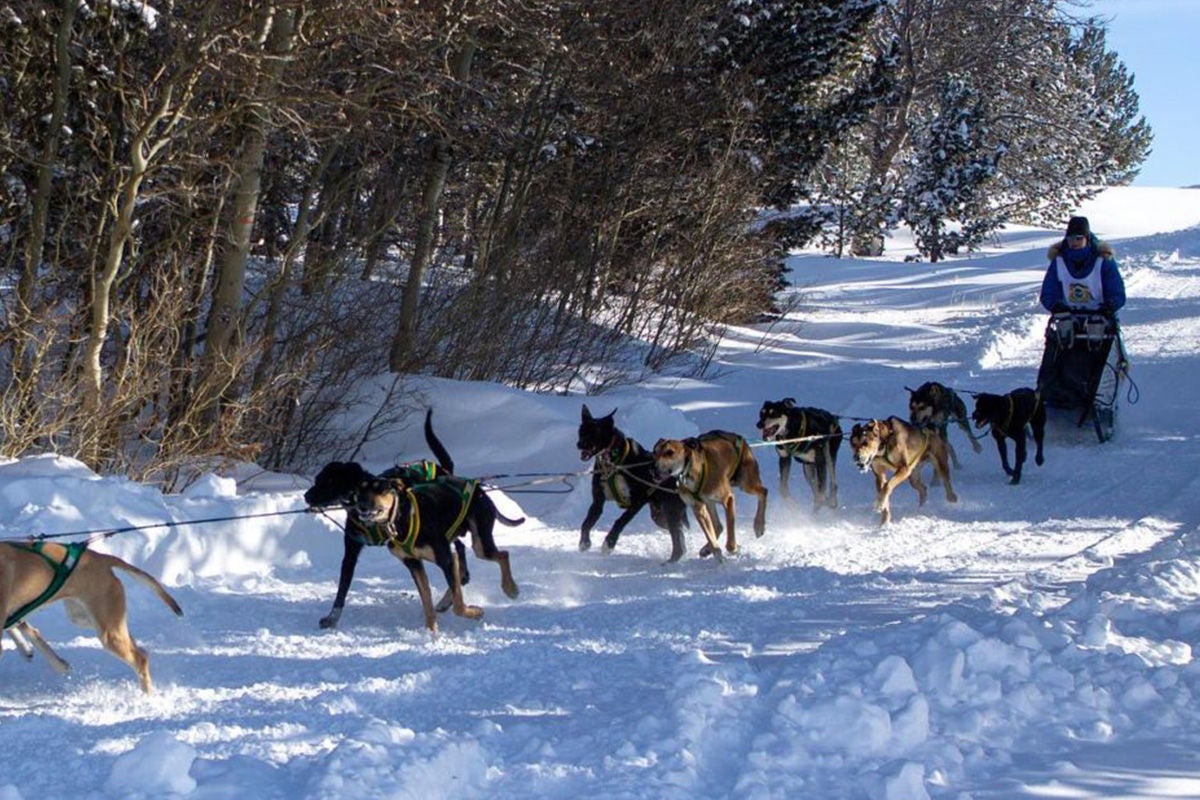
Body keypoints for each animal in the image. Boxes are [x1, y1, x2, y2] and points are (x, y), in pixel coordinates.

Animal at [1, 537, 183, 695]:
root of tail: (100, 558)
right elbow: (25, 631)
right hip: (88, 618)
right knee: (138, 647)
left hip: (107, 633)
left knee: (141, 658)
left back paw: (147, 695)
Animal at [304, 412, 520, 633]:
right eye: (318, 479)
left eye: (329, 481)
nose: (306, 495)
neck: (396, 521)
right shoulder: (371, 555)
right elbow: (344, 589)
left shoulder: (443, 557)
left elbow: (458, 604)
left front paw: (472, 611)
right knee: (462, 566)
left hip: (479, 544)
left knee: (496, 555)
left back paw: (508, 588)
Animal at [576, 407, 691, 563]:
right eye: (581, 431)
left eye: (593, 432)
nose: (579, 444)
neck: (613, 462)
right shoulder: (598, 501)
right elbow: (587, 523)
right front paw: (584, 542)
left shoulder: (637, 501)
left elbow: (620, 521)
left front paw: (609, 543)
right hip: (660, 516)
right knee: (679, 535)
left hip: (670, 510)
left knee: (678, 538)